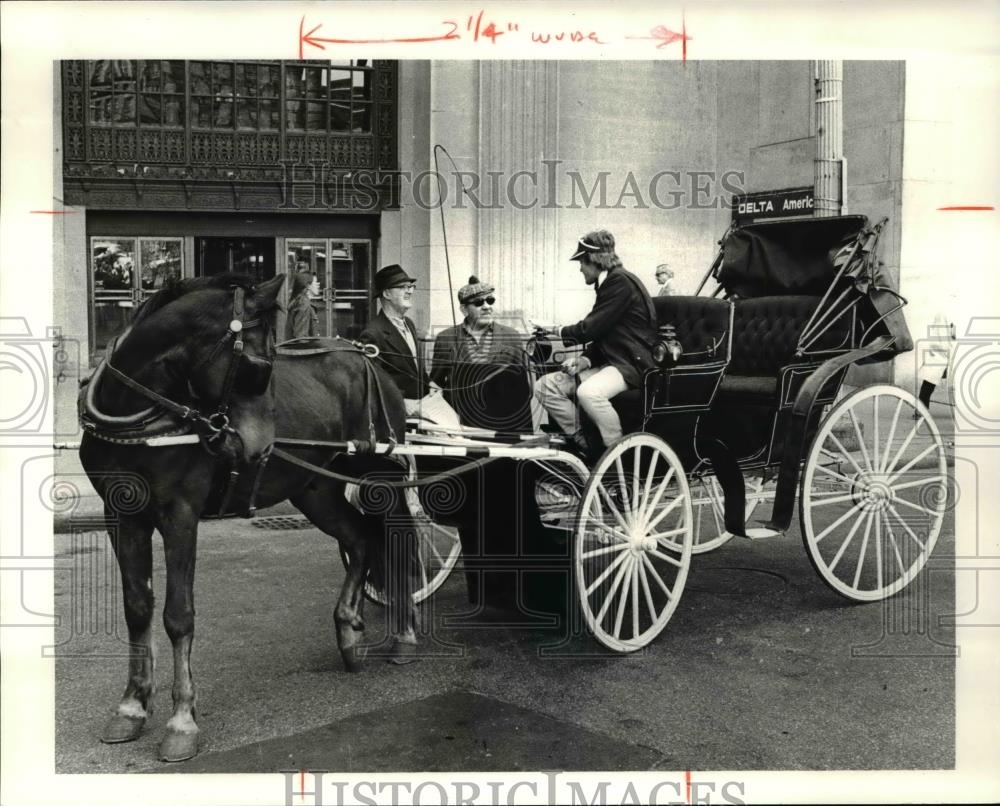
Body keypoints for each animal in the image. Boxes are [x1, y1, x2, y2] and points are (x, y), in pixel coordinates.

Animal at [79, 274, 418, 760]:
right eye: (258, 363)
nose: (261, 449)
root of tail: (368, 358)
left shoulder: (180, 513)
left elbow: (178, 614)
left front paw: (182, 720)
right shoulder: (121, 515)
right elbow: (137, 607)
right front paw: (132, 706)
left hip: (379, 477)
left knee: (398, 542)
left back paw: (404, 635)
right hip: (315, 489)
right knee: (359, 538)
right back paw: (349, 631)